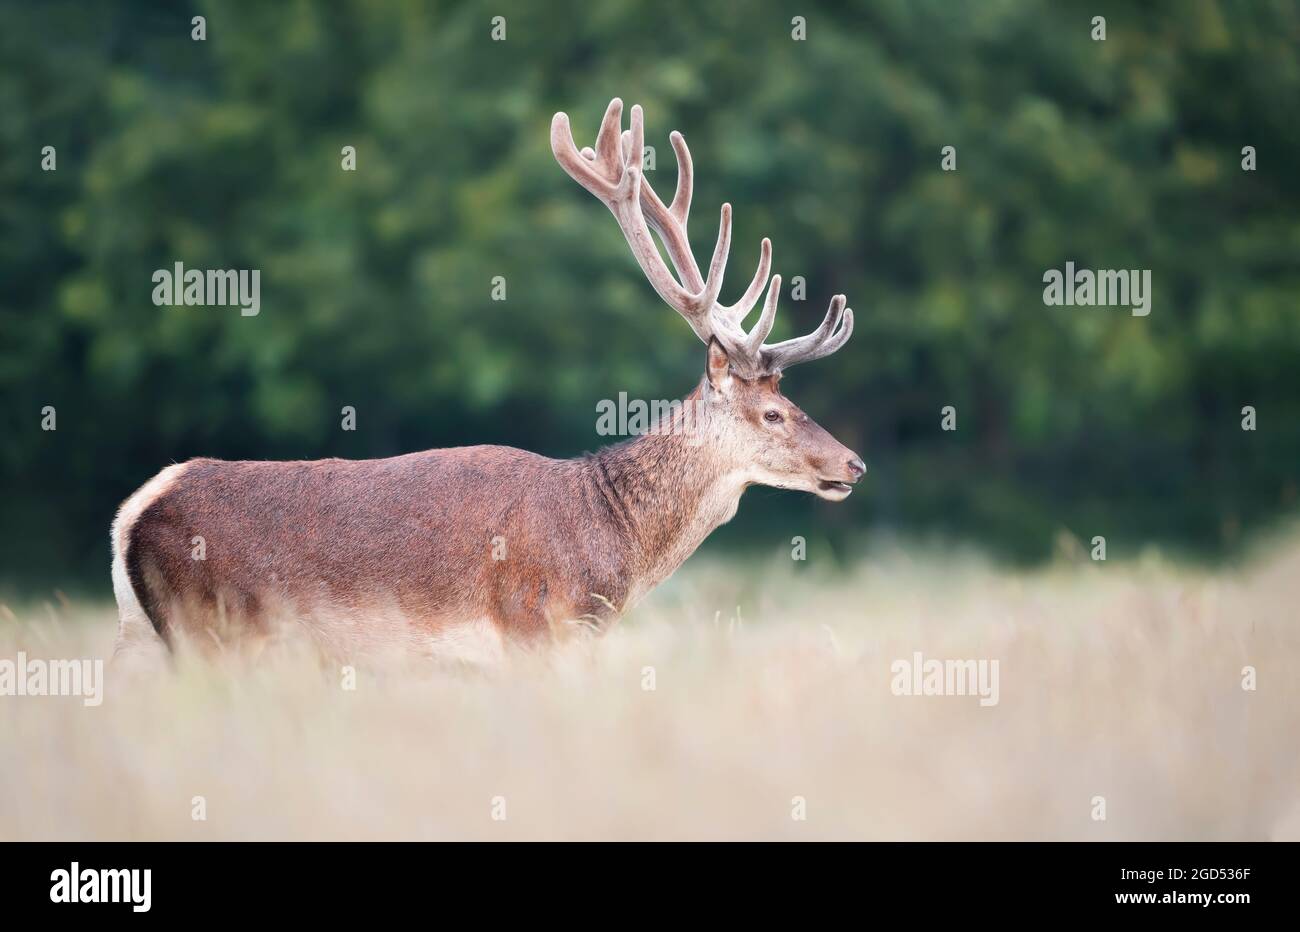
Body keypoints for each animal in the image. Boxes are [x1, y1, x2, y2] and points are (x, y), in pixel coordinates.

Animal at [111, 98, 863, 665]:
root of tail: (132, 513)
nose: (853, 463)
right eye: (772, 414)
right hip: (212, 631)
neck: (607, 544)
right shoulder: (533, 627)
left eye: (790, 399)